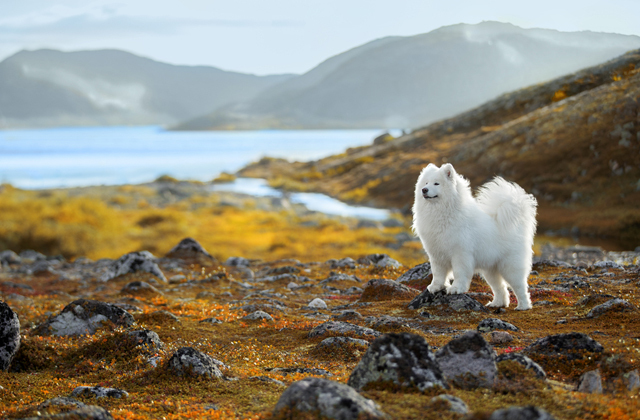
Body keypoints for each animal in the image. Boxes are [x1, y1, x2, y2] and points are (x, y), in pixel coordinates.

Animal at [412, 162, 536, 310]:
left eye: (436, 183)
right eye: (426, 182)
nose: (424, 190)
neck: (443, 212)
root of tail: (518, 224)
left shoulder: (460, 254)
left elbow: (459, 273)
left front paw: (456, 289)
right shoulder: (437, 254)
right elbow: (438, 273)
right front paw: (436, 287)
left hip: (510, 267)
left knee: (520, 287)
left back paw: (523, 306)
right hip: (491, 270)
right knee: (500, 288)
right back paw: (497, 303)